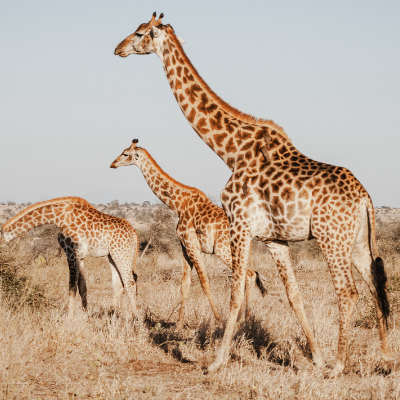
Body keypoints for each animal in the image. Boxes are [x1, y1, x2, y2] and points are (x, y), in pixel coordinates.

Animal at [1, 196, 139, 316]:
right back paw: (110, 315)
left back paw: (134, 318)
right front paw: (85, 315)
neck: (58, 216)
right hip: (113, 255)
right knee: (118, 284)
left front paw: (69, 317)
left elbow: (72, 287)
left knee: (130, 282)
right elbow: (82, 286)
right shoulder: (80, 256)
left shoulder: (71, 252)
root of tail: (134, 233)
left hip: (121, 253)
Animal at [110, 139, 266, 326]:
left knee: (249, 275)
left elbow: (204, 282)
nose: (112, 164)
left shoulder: (192, 245)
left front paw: (219, 320)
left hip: (223, 250)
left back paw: (243, 320)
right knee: (250, 275)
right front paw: (178, 325)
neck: (178, 204)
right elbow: (184, 284)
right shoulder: (184, 246)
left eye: (125, 153)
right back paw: (243, 319)